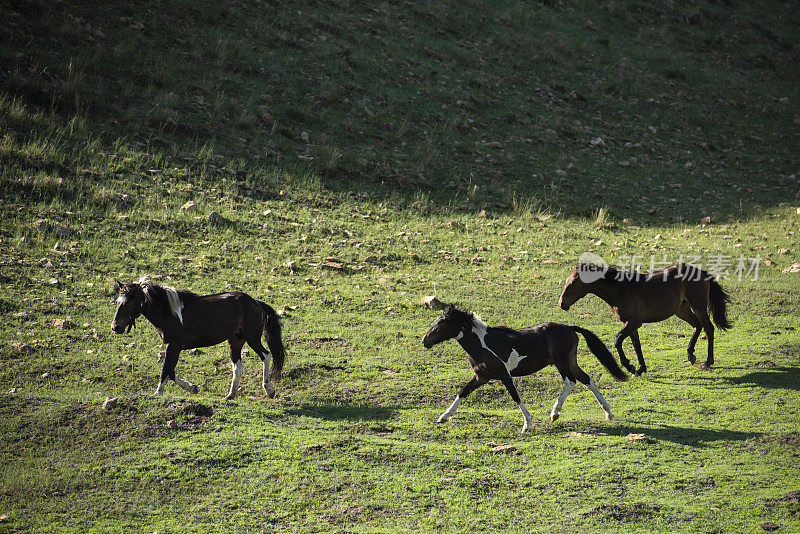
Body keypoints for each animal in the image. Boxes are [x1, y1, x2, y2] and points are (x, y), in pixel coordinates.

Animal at [111, 280, 288, 402]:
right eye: (117, 302)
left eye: (128, 303)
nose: (115, 327)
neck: (170, 313)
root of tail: (255, 302)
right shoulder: (172, 347)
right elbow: (171, 371)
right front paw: (192, 387)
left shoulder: (174, 346)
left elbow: (165, 370)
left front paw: (157, 393)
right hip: (235, 341)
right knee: (238, 366)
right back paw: (230, 395)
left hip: (252, 338)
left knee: (266, 355)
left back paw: (269, 389)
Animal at [556, 262, 732, 374]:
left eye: (572, 283)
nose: (561, 303)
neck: (620, 289)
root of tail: (701, 272)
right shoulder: (631, 324)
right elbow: (636, 345)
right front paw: (640, 368)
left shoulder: (633, 322)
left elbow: (617, 341)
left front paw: (629, 366)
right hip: (682, 310)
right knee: (697, 326)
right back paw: (691, 355)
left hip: (698, 306)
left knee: (709, 328)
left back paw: (708, 361)